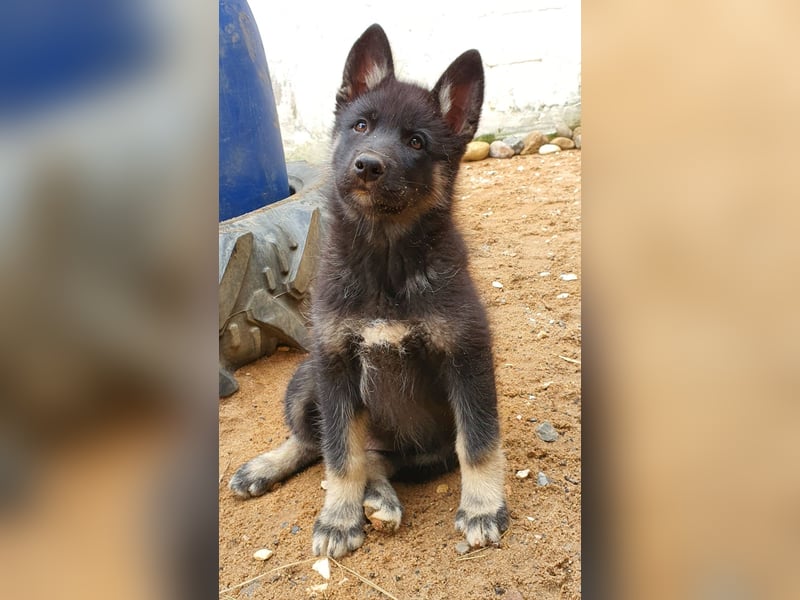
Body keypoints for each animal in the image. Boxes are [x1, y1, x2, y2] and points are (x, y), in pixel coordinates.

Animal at [228, 23, 510, 556]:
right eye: (360, 126)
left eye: (417, 141)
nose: (367, 165)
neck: (385, 259)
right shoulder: (335, 363)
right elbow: (341, 457)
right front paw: (338, 518)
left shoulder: (467, 359)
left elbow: (478, 442)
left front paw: (483, 507)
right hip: (307, 380)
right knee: (318, 443)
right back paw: (271, 469)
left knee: (375, 462)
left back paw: (380, 499)